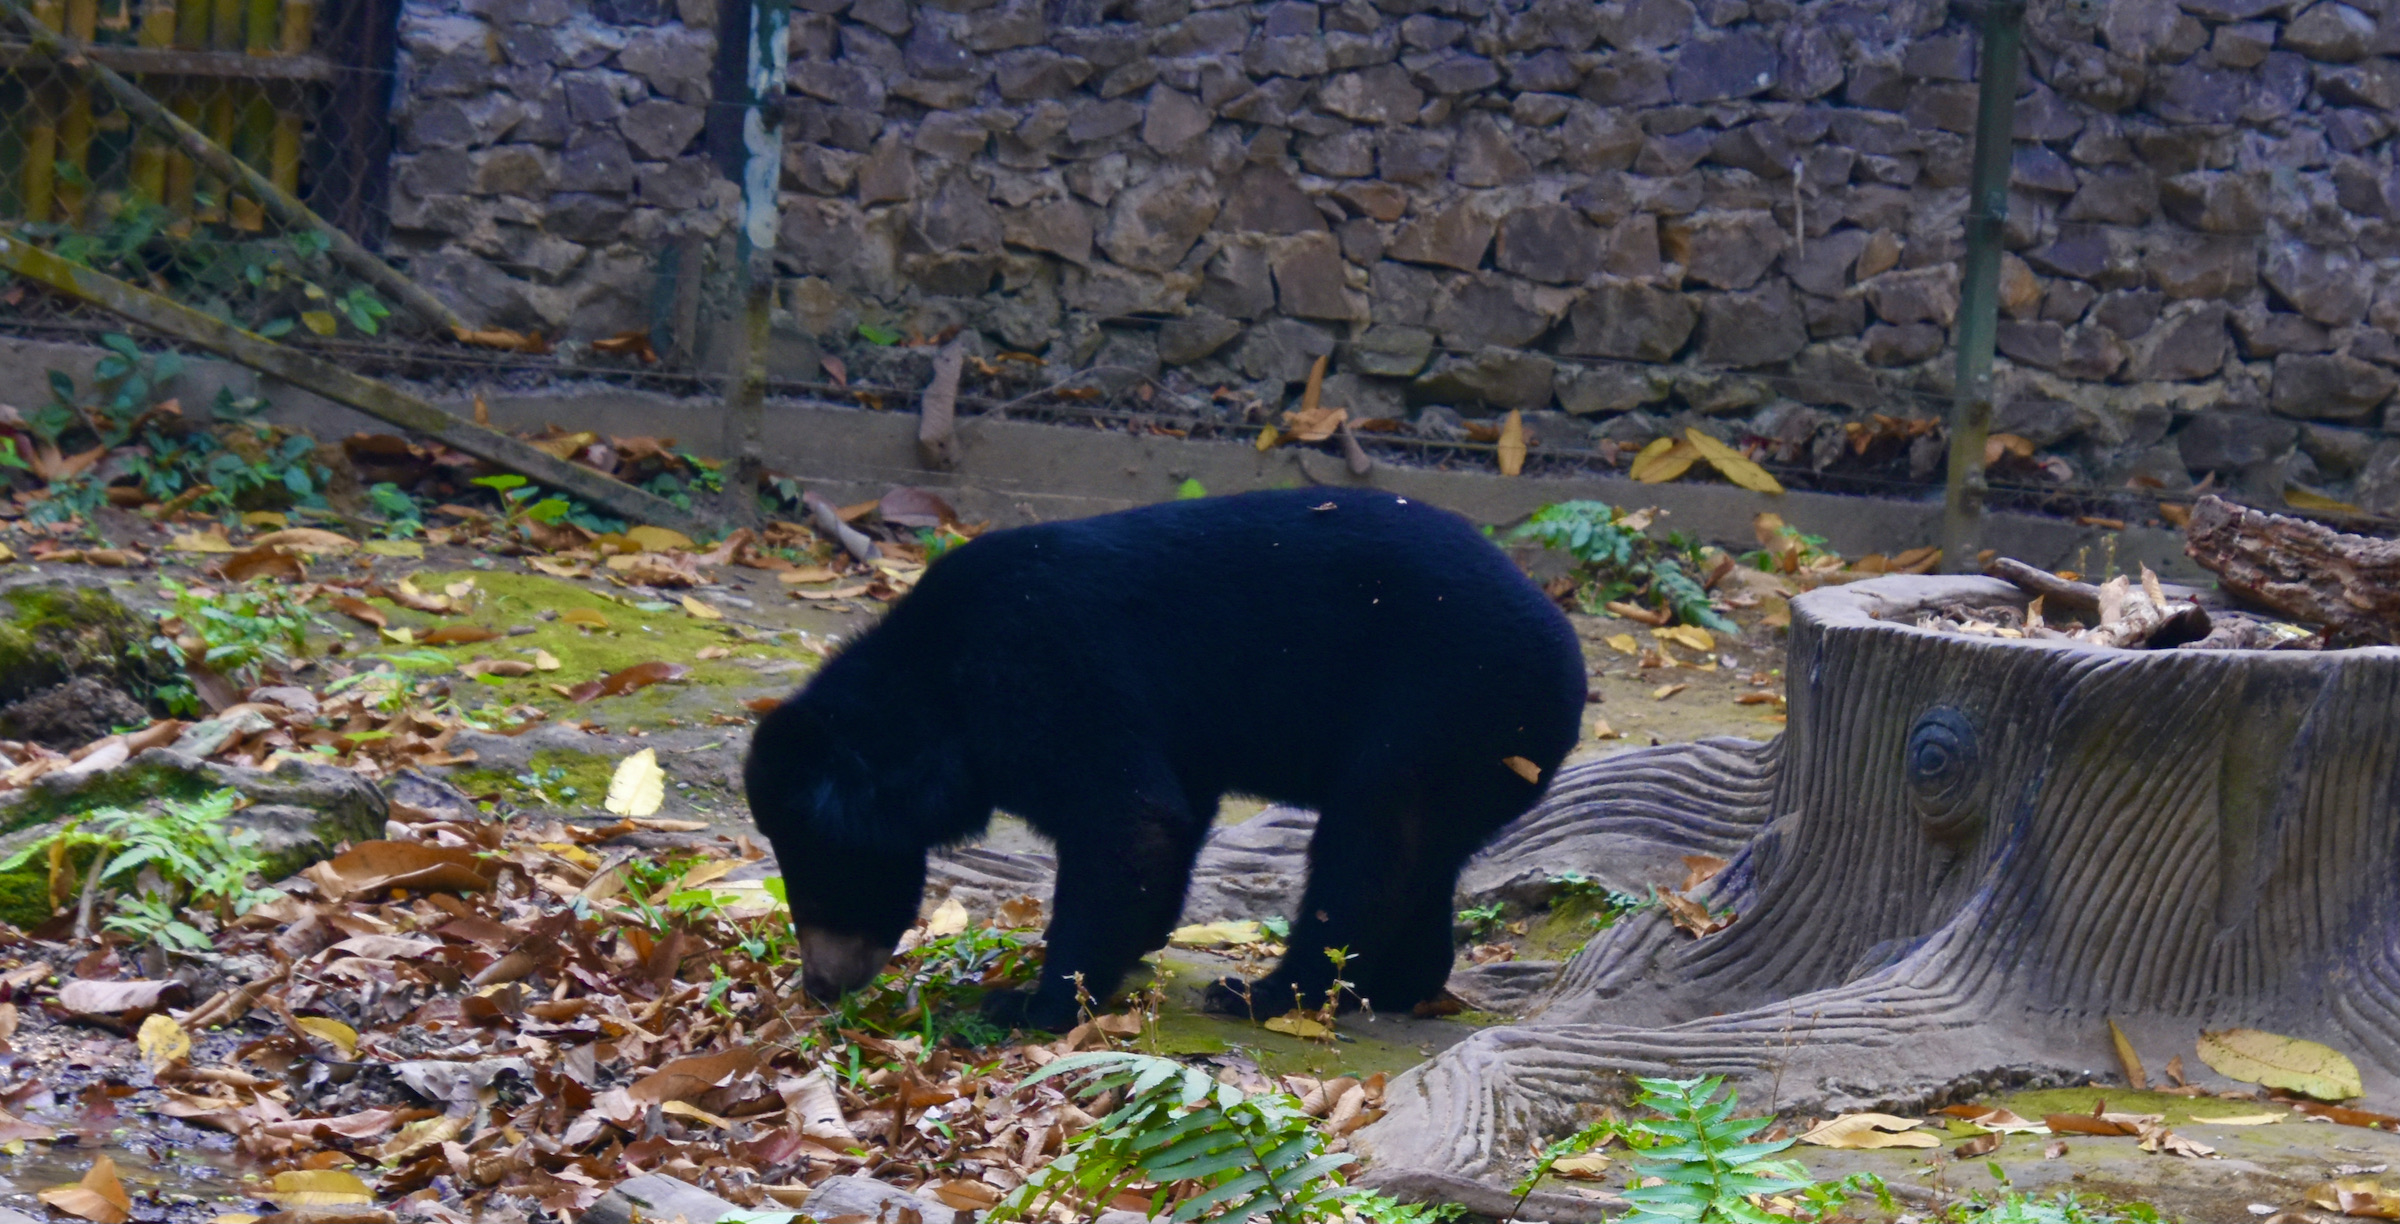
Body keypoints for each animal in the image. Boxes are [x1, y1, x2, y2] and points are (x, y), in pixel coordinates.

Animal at [739, 487, 1584, 1032]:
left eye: (826, 878)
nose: (820, 986)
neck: (933, 687)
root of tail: (1568, 670)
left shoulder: (1038, 667)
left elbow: (1128, 817)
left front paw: (1031, 1005)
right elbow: (1170, 816)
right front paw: (1136, 943)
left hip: (1437, 709)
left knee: (1367, 850)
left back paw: (1265, 994)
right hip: (1472, 748)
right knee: (1421, 858)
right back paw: (1399, 982)